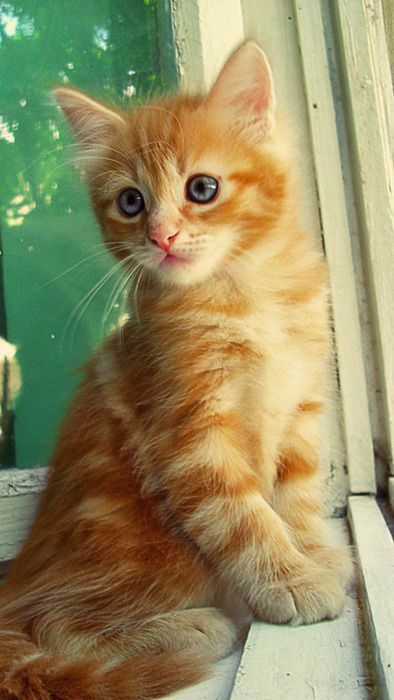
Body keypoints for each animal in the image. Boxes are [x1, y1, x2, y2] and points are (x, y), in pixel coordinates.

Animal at [0, 43, 350, 700]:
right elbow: (246, 518)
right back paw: (194, 628)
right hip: (142, 548)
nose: (161, 236)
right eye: (130, 201)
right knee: (51, 626)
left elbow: (297, 497)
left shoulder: (298, 410)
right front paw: (291, 581)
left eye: (203, 187)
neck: (247, 294)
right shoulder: (189, 435)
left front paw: (316, 555)